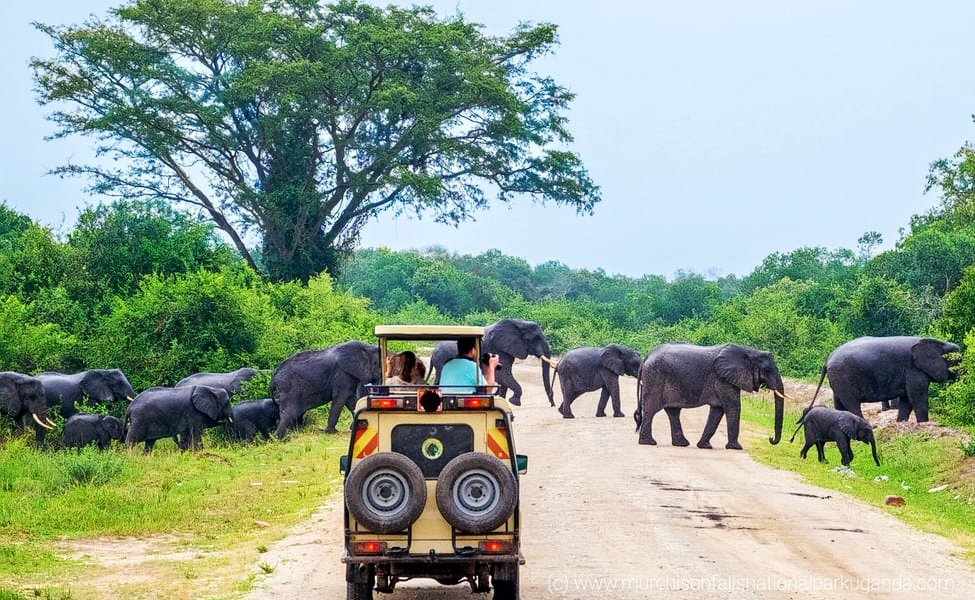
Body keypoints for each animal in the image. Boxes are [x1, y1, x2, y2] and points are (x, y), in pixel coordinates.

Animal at [636, 342, 788, 450]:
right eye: (767, 370)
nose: (770, 438)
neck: (749, 351)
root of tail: (647, 357)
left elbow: (717, 410)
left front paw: (705, 446)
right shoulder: (723, 379)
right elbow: (733, 407)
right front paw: (736, 448)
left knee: (673, 412)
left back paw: (681, 444)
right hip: (655, 378)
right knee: (651, 409)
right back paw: (649, 443)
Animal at [812, 336, 964, 424]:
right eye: (958, 361)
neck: (939, 342)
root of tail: (828, 358)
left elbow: (906, 399)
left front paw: (901, 423)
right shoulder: (914, 370)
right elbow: (917, 396)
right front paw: (923, 424)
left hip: (837, 378)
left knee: (839, 403)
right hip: (844, 378)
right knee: (851, 403)